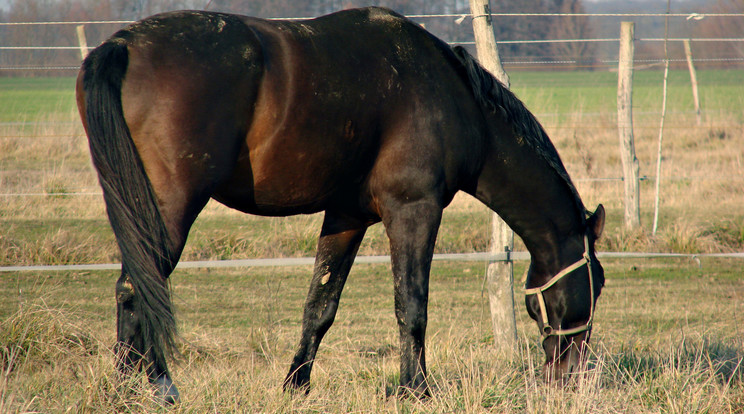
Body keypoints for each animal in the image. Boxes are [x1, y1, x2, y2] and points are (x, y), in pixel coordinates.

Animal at [75, 5, 604, 402]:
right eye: (597, 284)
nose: (570, 378)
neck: (455, 98)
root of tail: (122, 45)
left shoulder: (347, 217)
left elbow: (320, 305)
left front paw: (296, 386)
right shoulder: (414, 211)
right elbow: (411, 303)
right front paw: (416, 390)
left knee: (132, 287)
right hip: (168, 209)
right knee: (137, 286)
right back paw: (155, 386)